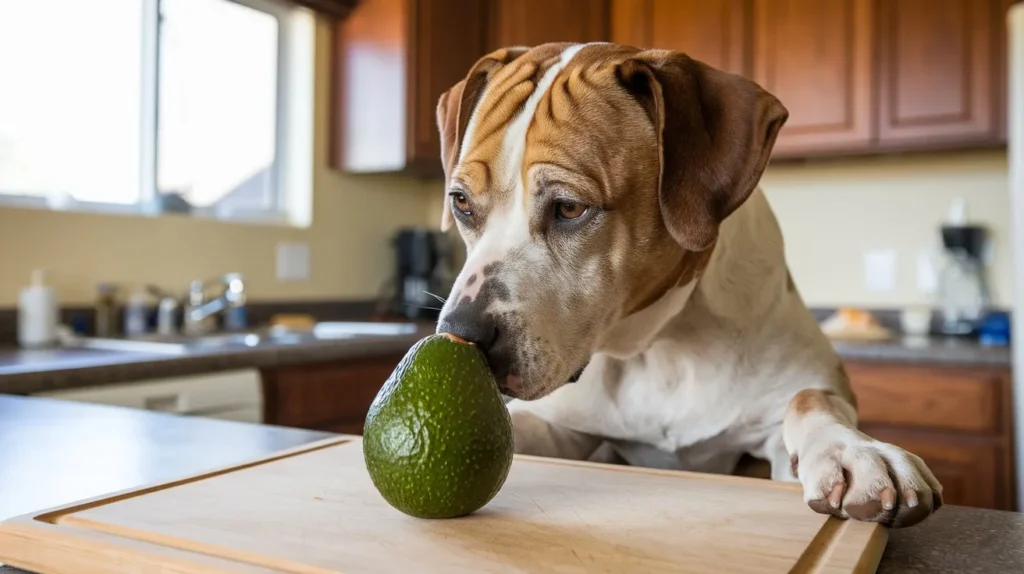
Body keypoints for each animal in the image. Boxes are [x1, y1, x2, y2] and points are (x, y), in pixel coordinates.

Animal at [432, 42, 942, 527]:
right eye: (461, 203)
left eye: (570, 208)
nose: (463, 335)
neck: (659, 344)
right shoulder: (554, 423)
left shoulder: (794, 408)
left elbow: (809, 399)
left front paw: (854, 451)